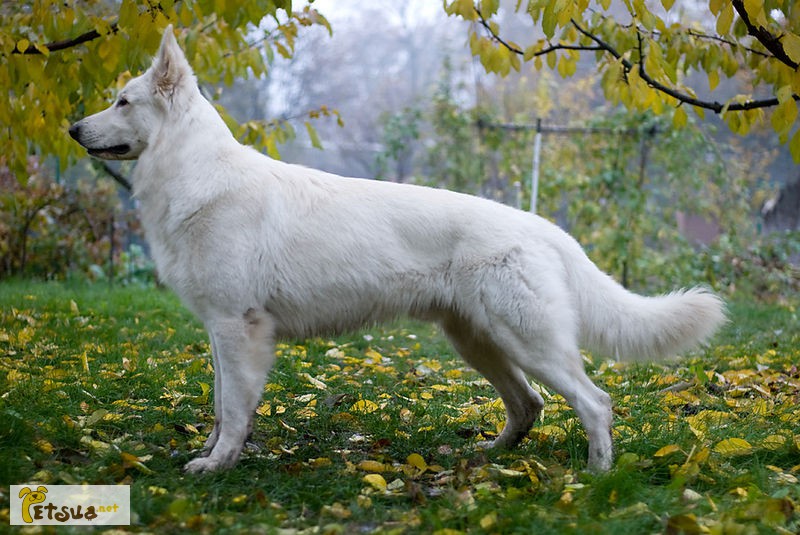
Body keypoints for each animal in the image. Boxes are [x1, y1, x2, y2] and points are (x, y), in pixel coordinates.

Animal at [69, 27, 724, 476]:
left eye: (123, 101)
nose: (74, 129)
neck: (195, 174)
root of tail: (544, 227)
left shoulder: (238, 329)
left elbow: (234, 409)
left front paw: (219, 464)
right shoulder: (218, 332)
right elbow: (218, 403)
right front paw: (210, 453)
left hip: (527, 342)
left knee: (595, 401)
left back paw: (597, 475)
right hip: (480, 343)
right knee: (529, 405)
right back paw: (488, 456)